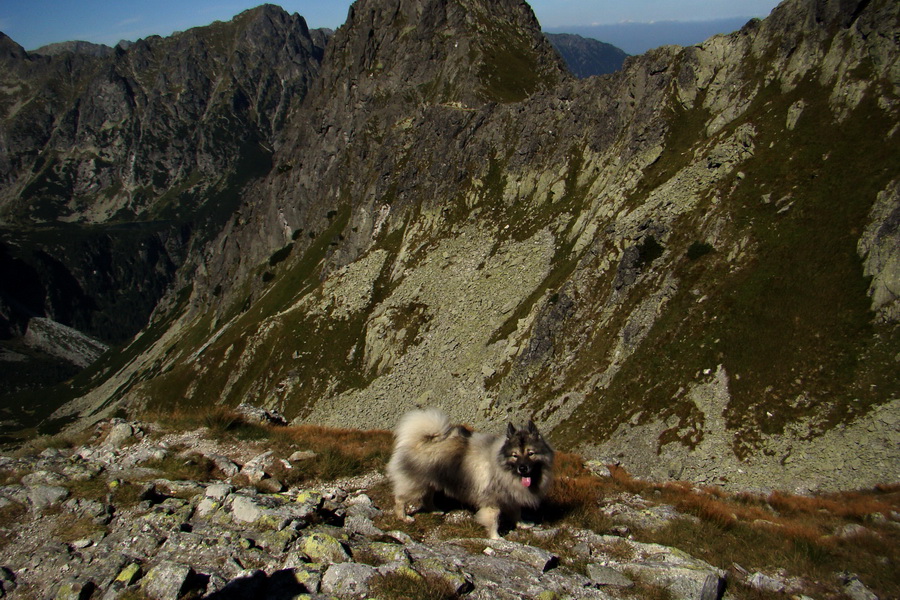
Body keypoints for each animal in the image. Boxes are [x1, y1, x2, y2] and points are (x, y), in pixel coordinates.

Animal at [386, 408, 556, 540]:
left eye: (531, 453)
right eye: (515, 455)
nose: (522, 468)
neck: (502, 466)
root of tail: (419, 441)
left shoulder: (511, 497)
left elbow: (517, 512)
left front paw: (522, 524)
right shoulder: (492, 502)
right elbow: (493, 520)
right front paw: (496, 537)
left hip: (431, 481)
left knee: (427, 498)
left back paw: (435, 510)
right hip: (416, 484)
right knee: (400, 499)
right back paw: (404, 517)